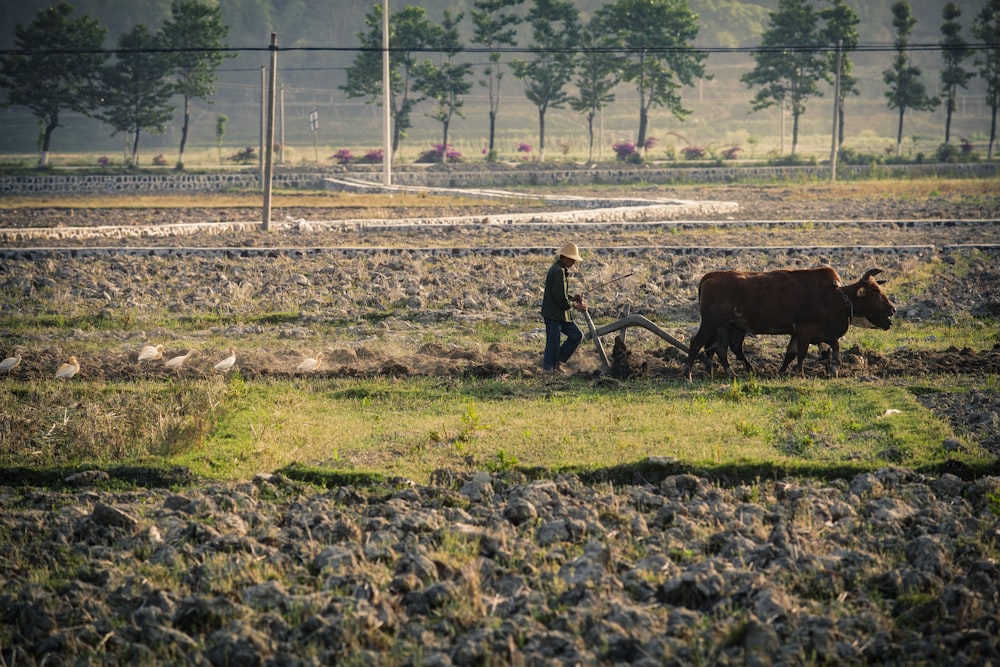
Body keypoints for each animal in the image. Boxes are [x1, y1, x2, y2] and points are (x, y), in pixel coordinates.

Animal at [684, 268, 896, 380]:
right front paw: (800, 373)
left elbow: (795, 352)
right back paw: (688, 374)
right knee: (696, 343)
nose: (893, 310)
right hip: (711, 322)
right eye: (876, 292)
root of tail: (711, 275)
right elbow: (801, 353)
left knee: (721, 348)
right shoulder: (806, 330)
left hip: (726, 326)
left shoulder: (811, 333)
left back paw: (731, 372)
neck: (838, 296)